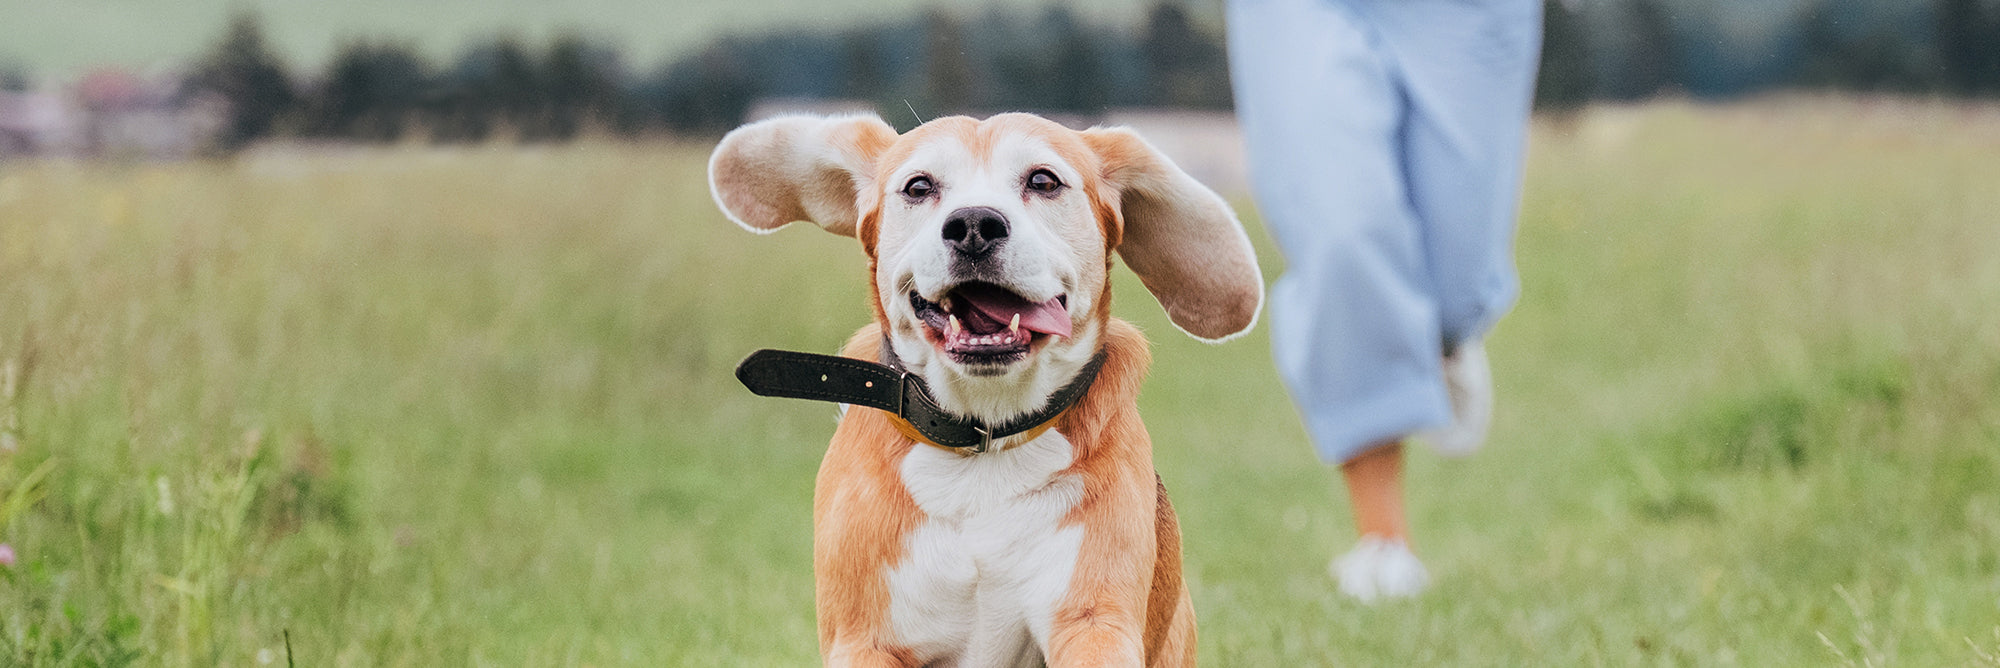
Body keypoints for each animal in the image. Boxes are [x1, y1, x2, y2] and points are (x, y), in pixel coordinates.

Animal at [712, 112, 1256, 664]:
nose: (974, 225)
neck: (983, 437)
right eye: (919, 187)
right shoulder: (865, 638)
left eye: (1043, 181)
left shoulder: (1092, 621)